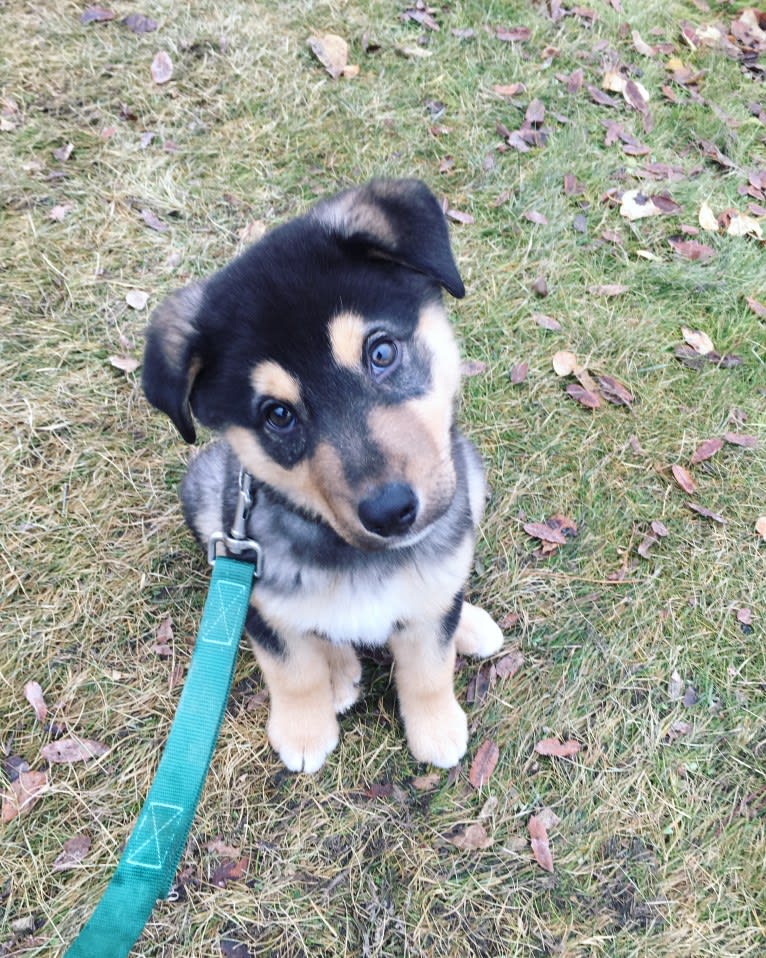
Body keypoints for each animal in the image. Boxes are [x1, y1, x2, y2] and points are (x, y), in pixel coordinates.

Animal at [143, 180, 504, 776]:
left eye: (381, 352)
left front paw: (435, 726)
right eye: (277, 415)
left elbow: (429, 663)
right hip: (206, 493)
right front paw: (304, 729)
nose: (390, 512)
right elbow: (294, 669)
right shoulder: (256, 600)